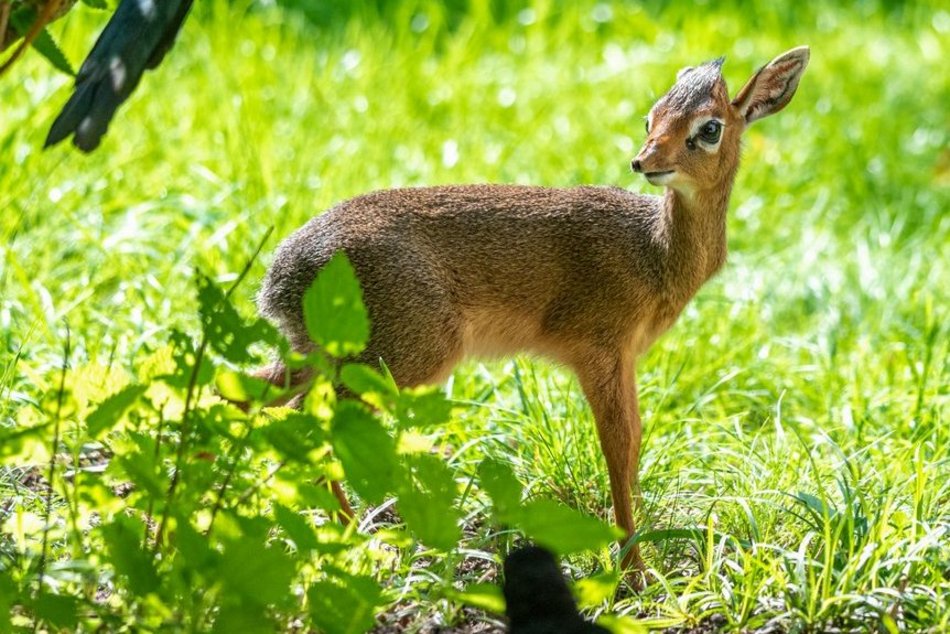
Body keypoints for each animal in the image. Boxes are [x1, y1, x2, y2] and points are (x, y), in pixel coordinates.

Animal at [258, 47, 812, 576]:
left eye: (709, 127)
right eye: (650, 118)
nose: (644, 161)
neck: (654, 251)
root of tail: (281, 279)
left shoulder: (626, 358)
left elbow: (634, 442)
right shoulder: (598, 350)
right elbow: (617, 447)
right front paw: (634, 575)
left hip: (323, 355)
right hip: (398, 358)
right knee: (308, 418)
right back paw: (360, 544)